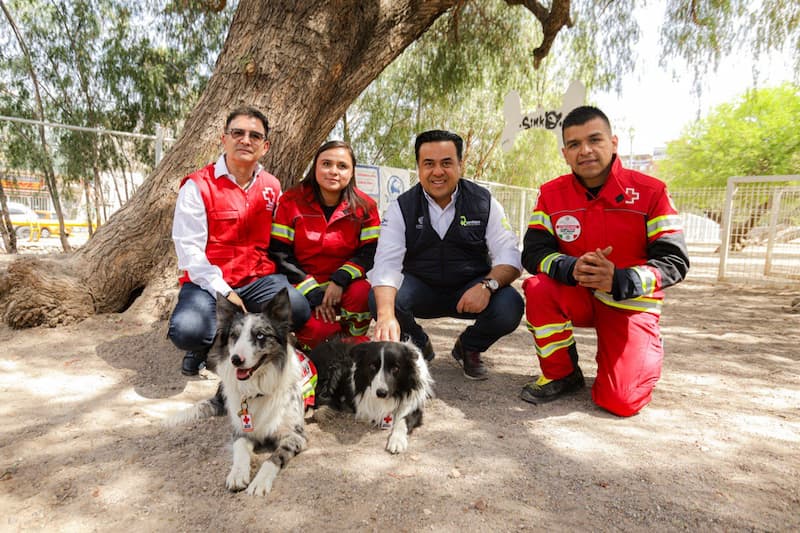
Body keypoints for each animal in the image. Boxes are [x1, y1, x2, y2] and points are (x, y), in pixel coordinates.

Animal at [167, 288, 308, 496]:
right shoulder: (241, 429)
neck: (257, 388)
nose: (235, 359)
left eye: (260, 336)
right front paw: (237, 474)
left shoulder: (296, 435)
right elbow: (240, 449)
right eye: (234, 335)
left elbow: (273, 458)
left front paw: (260, 482)